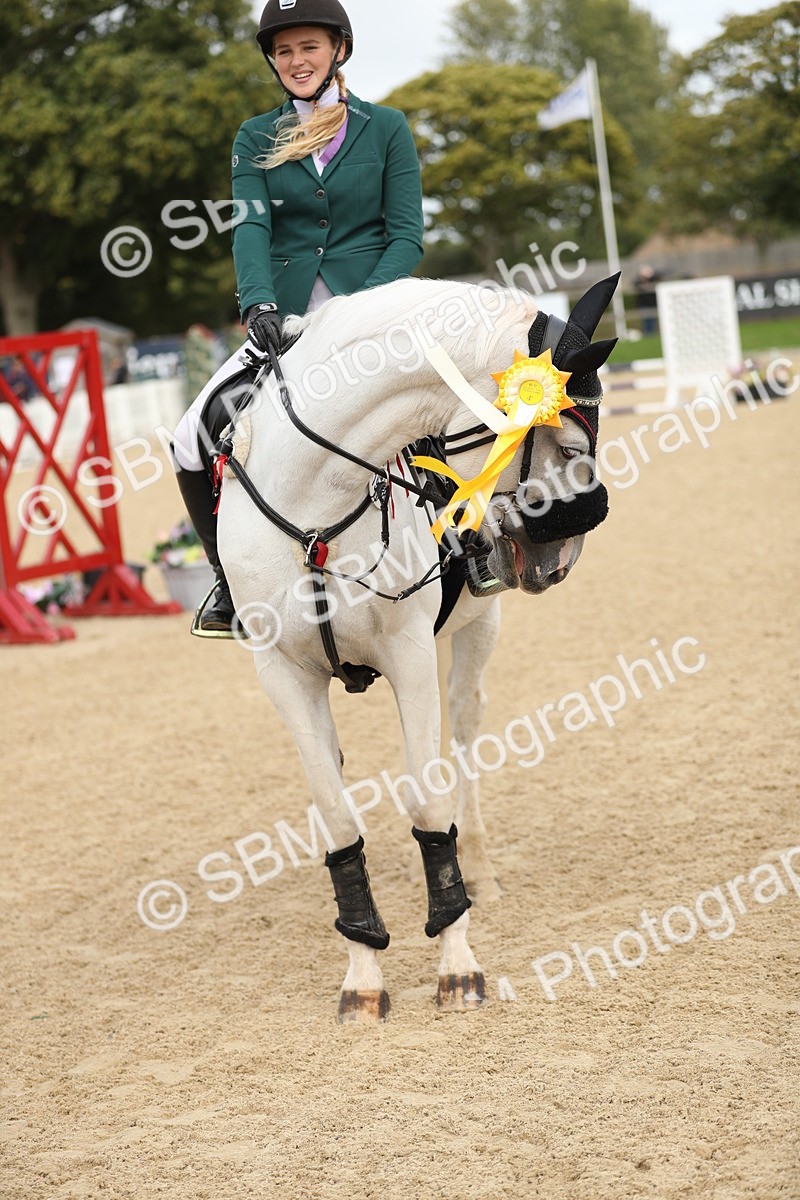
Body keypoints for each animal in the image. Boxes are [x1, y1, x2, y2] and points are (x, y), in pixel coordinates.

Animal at [215, 274, 618, 1021]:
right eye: (569, 443)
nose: (563, 557)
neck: (317, 504)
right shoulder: (284, 675)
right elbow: (338, 820)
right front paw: (363, 973)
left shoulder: (408, 654)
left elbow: (430, 803)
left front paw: (457, 964)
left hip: (473, 637)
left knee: (462, 741)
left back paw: (478, 871)